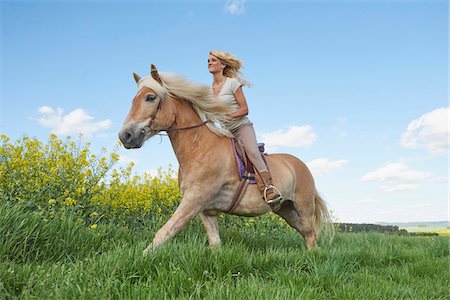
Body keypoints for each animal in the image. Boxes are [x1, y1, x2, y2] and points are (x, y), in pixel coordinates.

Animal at [118, 65, 330, 255]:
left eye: (150, 97)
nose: (125, 136)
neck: (199, 146)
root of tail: (300, 164)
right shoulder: (206, 210)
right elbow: (214, 243)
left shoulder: (193, 200)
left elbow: (165, 232)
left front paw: (141, 258)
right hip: (284, 209)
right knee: (307, 234)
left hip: (303, 205)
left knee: (310, 235)